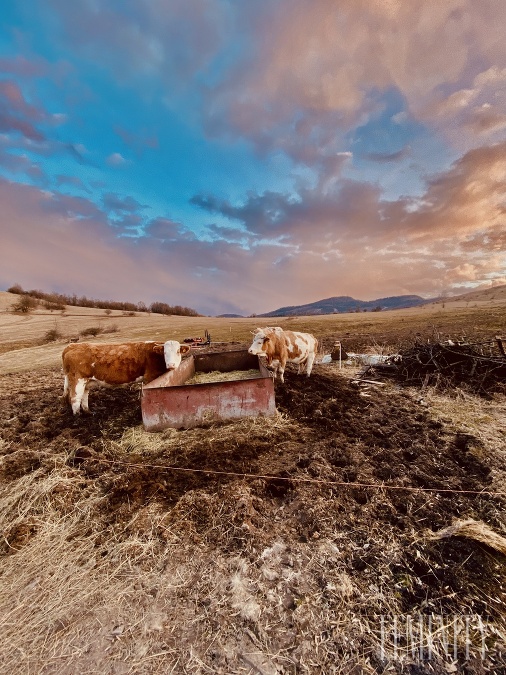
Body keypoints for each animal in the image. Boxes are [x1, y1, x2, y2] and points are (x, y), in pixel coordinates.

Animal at [61, 340, 191, 414]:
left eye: (178, 351)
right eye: (164, 352)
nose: (171, 365)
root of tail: (71, 346)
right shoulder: (150, 376)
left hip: (86, 381)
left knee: (84, 396)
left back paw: (88, 412)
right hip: (77, 380)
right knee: (75, 399)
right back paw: (78, 417)